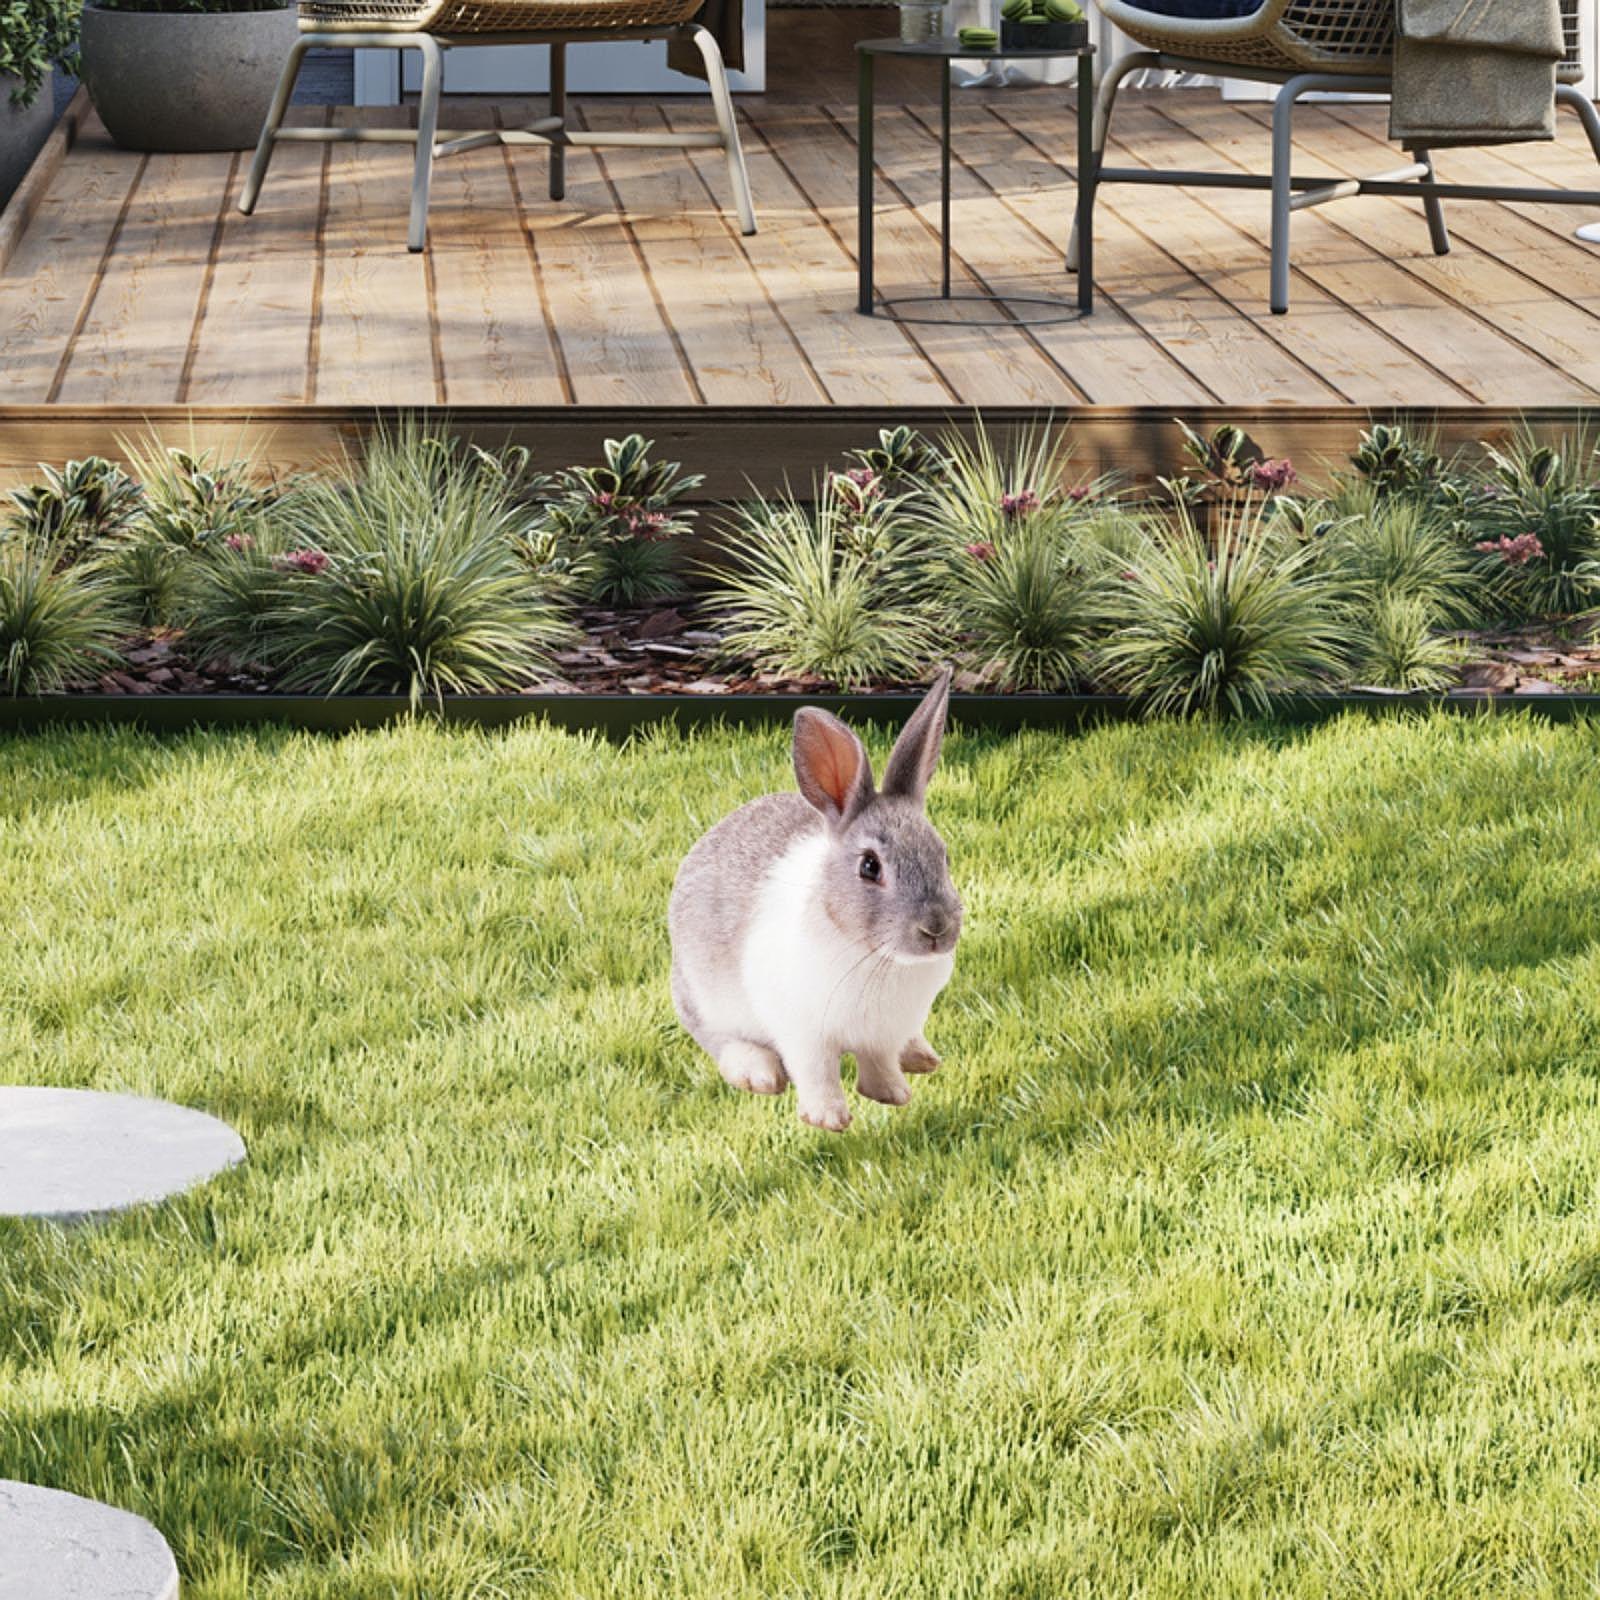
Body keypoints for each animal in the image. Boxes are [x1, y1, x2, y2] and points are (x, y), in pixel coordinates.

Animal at [669, 670, 962, 1132]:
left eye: (943, 855)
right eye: (869, 867)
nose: (936, 929)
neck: (875, 957)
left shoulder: (882, 1034)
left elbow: (879, 1063)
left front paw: (893, 1094)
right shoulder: (803, 1033)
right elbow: (817, 1072)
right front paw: (829, 1119)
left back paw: (921, 1056)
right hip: (704, 998)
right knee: (720, 1039)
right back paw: (758, 1073)